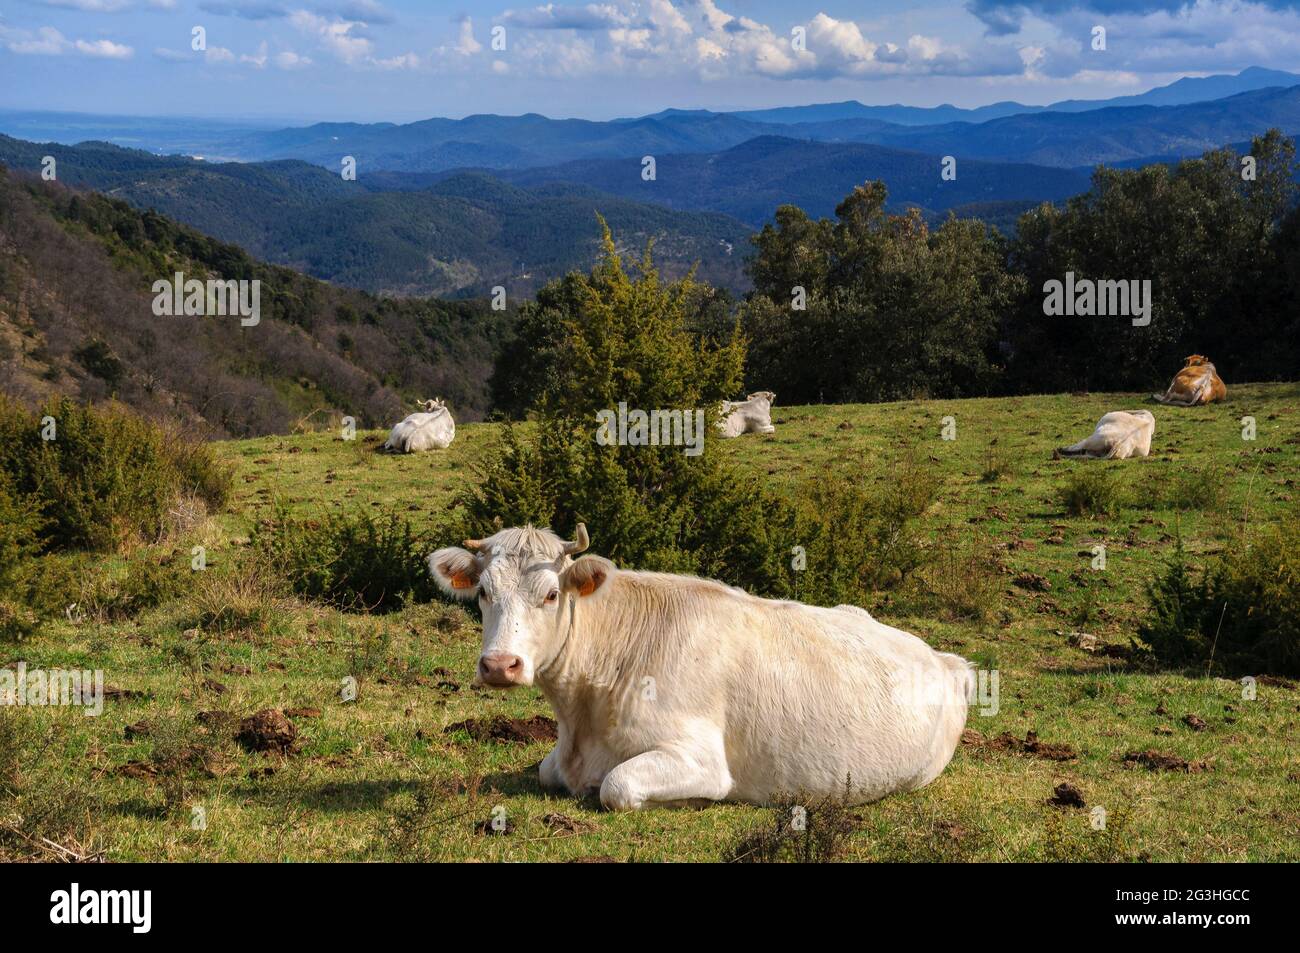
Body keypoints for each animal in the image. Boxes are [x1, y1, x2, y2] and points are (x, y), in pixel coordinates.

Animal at [428, 525, 977, 806]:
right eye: (483, 593)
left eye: (550, 594)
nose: (500, 665)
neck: (582, 721)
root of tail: (946, 659)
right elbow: (546, 772)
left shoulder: (702, 760)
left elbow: (617, 786)